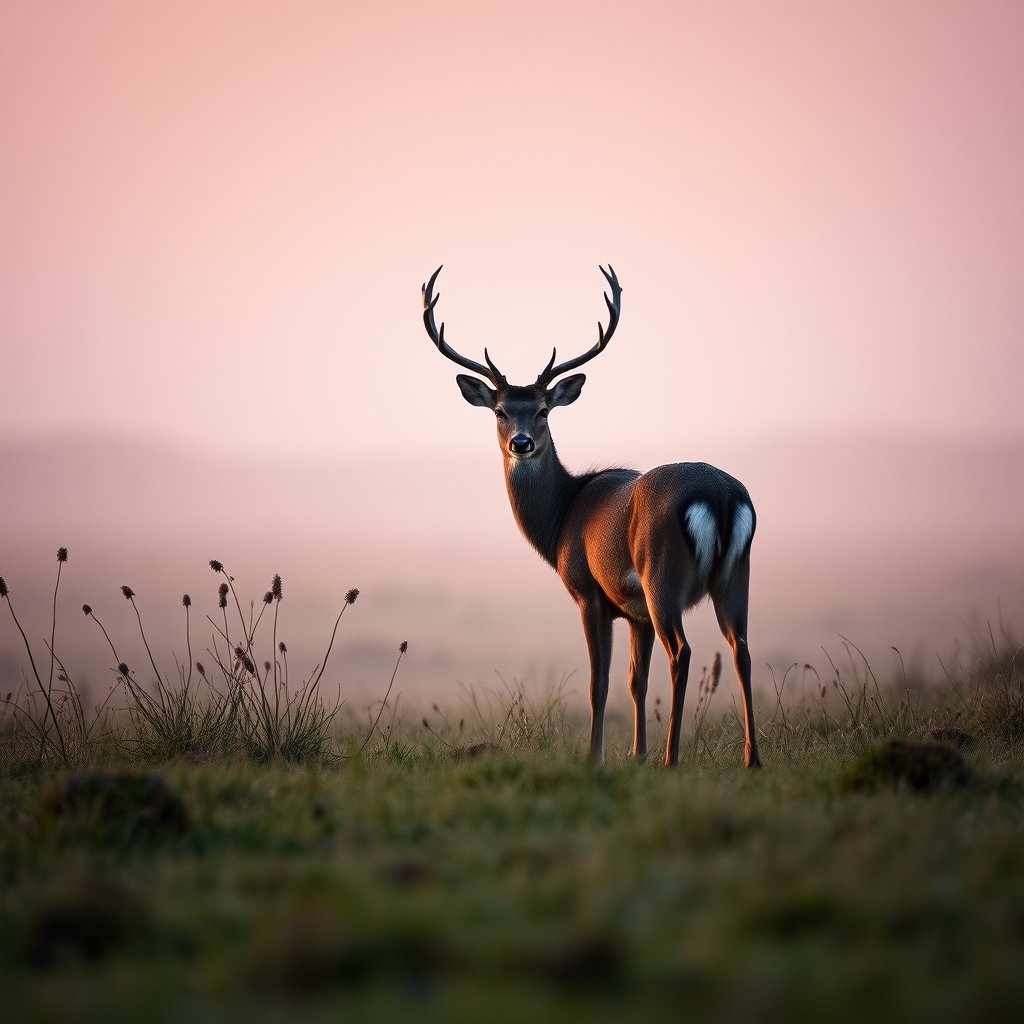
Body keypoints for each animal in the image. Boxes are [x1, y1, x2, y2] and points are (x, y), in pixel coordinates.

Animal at [421, 265, 761, 769]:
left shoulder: (589, 592)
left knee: (683, 652)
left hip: (663, 577)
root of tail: (719, 498)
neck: (562, 519)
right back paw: (751, 758)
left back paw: (672, 757)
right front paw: (636, 754)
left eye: (543, 410)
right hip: (735, 575)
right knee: (741, 649)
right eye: (500, 411)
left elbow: (598, 683)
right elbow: (635, 681)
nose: (521, 442)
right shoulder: (635, 613)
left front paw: (596, 756)